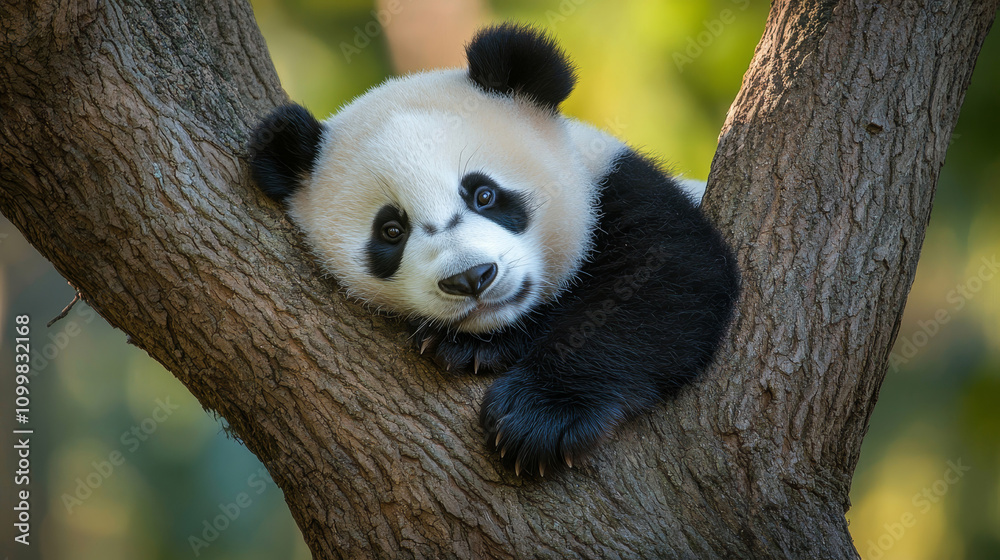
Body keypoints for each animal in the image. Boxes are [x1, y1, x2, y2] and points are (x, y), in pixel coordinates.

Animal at [249, 23, 740, 477]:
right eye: (391, 230)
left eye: (483, 194)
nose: (470, 278)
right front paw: (471, 344)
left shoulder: (619, 188)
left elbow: (662, 287)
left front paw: (538, 417)